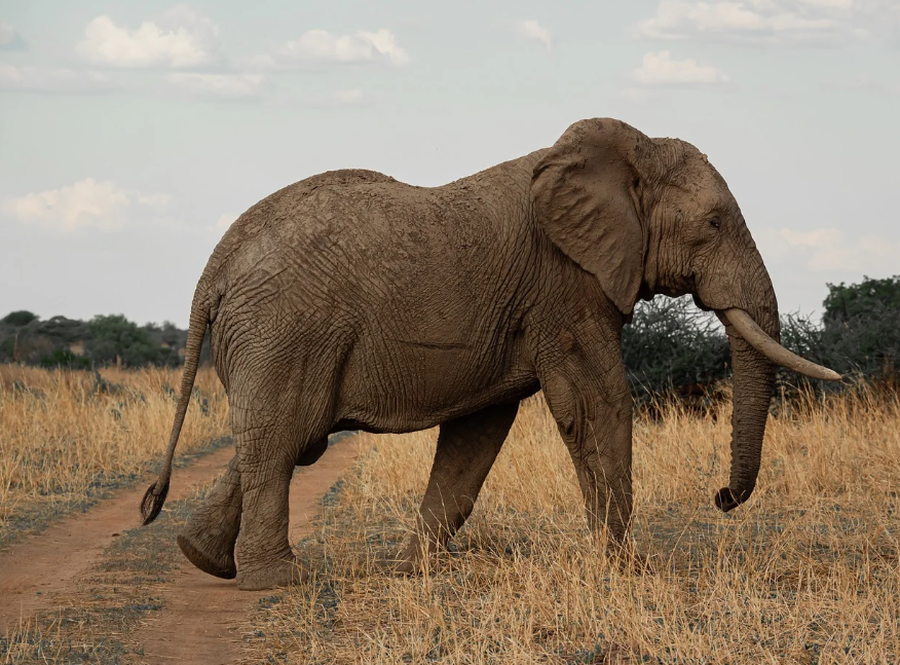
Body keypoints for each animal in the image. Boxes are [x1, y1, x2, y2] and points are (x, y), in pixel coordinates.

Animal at [141, 117, 839, 591]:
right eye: (714, 224)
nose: (721, 497)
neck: (623, 155)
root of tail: (215, 267)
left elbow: (478, 433)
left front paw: (415, 571)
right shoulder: (565, 289)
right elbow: (597, 406)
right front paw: (627, 570)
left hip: (272, 335)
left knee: (279, 437)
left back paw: (202, 558)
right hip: (286, 328)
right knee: (283, 438)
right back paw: (281, 580)